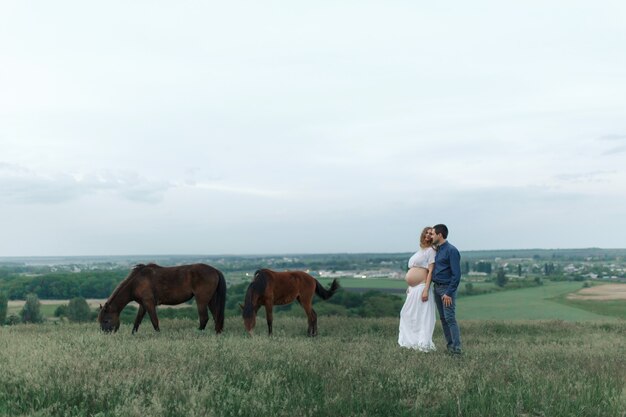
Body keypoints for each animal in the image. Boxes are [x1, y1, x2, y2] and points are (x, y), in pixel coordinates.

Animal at [96, 262, 225, 334]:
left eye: (106, 320)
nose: (105, 334)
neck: (136, 282)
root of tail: (215, 270)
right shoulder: (143, 304)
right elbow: (137, 321)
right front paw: (133, 334)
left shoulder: (149, 303)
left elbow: (154, 321)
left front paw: (158, 335)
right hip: (210, 300)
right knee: (216, 317)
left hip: (201, 300)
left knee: (204, 318)